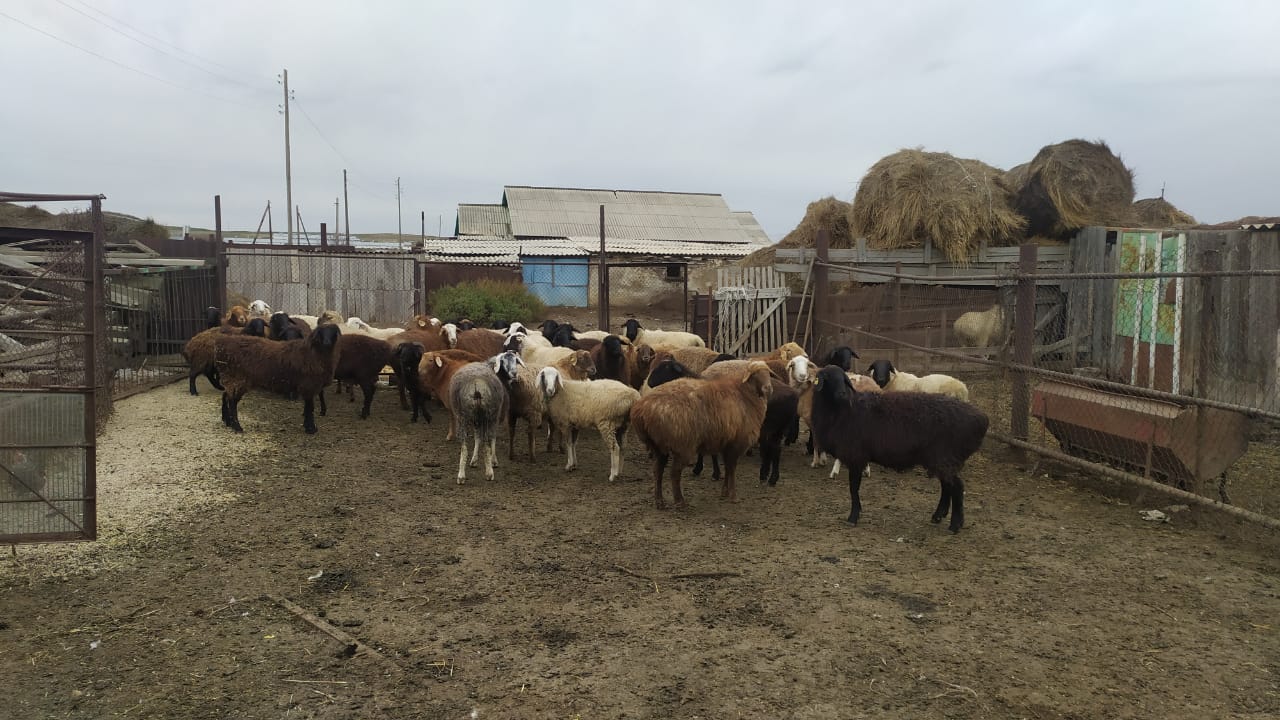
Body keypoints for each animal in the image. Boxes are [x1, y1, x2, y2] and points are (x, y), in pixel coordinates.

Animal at [216, 324, 345, 430]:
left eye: (332, 332)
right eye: (321, 333)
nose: (327, 342)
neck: (314, 353)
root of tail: (222, 344)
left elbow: (308, 407)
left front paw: (307, 425)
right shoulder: (308, 385)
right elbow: (310, 408)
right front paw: (311, 428)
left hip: (231, 378)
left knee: (225, 396)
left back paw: (227, 420)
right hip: (238, 379)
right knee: (232, 401)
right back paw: (236, 426)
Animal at [629, 356, 768, 504]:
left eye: (665, 368)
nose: (648, 382)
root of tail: (642, 411)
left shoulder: (721, 438)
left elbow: (725, 465)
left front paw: (721, 485)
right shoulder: (728, 440)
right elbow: (729, 467)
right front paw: (730, 493)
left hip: (663, 445)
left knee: (659, 470)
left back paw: (661, 500)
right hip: (681, 445)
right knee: (673, 472)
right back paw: (679, 501)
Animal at [808, 361, 988, 530]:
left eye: (844, 380)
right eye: (828, 378)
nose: (843, 394)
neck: (842, 410)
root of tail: (981, 419)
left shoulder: (855, 455)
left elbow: (853, 488)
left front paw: (853, 517)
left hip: (944, 457)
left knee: (957, 487)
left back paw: (955, 524)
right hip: (941, 459)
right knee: (947, 485)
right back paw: (938, 516)